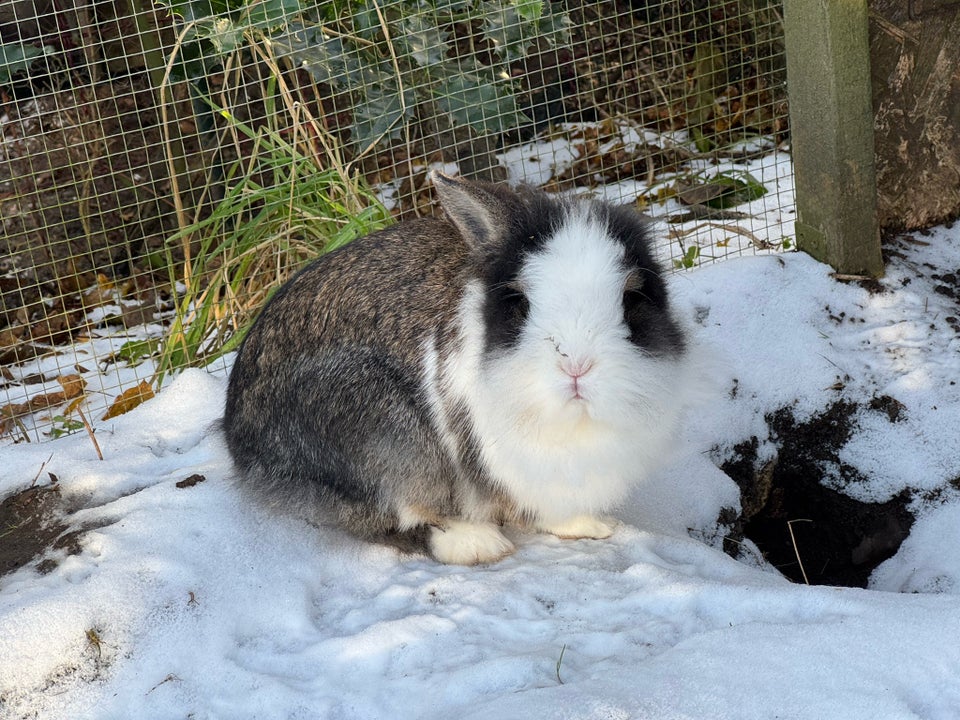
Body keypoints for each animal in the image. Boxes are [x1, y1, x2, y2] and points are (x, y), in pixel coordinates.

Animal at [225, 172, 688, 564]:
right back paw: (477, 543)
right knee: (390, 511)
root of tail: (239, 445)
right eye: (521, 303)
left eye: (631, 299)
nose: (576, 365)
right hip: (380, 429)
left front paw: (594, 525)